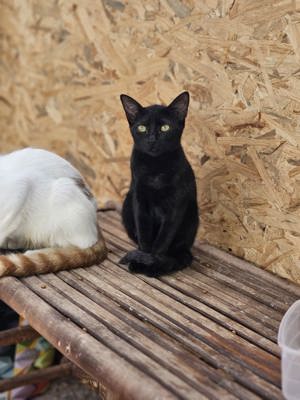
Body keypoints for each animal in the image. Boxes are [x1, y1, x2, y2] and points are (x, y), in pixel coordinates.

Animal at [119, 92, 199, 276]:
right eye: (142, 128)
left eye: (165, 128)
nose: (152, 139)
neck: (155, 168)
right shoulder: (139, 201)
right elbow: (144, 236)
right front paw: (141, 259)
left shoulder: (176, 205)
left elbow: (162, 240)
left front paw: (151, 263)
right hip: (127, 204)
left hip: (192, 213)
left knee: (181, 252)